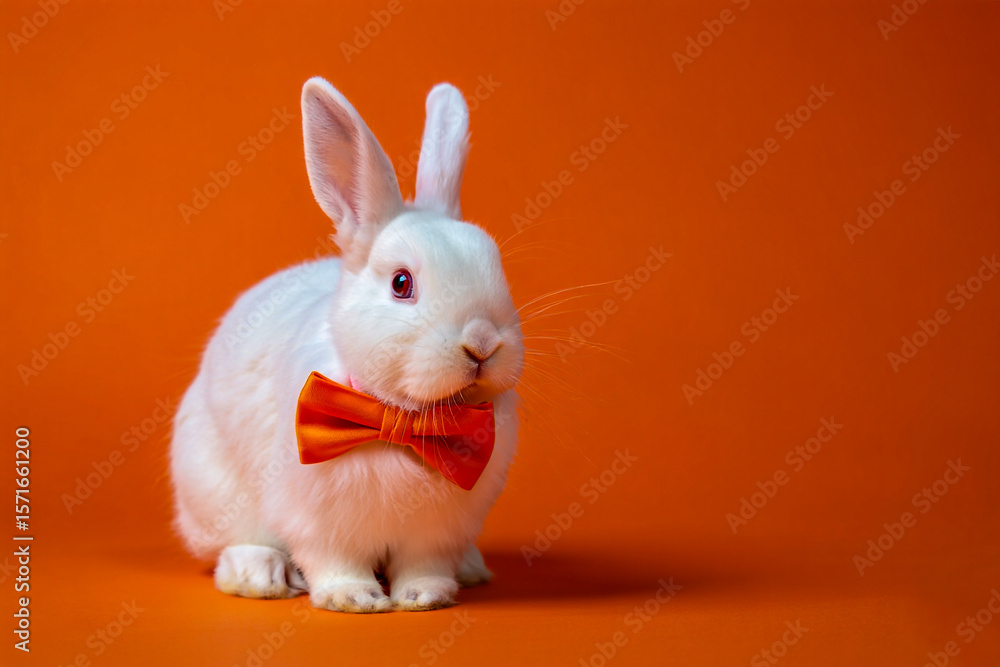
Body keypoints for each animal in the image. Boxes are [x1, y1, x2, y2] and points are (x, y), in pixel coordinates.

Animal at [168, 77, 523, 613]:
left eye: (496, 268)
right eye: (401, 283)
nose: (482, 342)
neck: (398, 419)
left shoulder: (437, 532)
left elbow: (425, 564)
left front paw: (424, 597)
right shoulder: (317, 522)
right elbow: (333, 560)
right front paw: (354, 599)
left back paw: (471, 569)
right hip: (213, 492)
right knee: (232, 544)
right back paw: (259, 576)